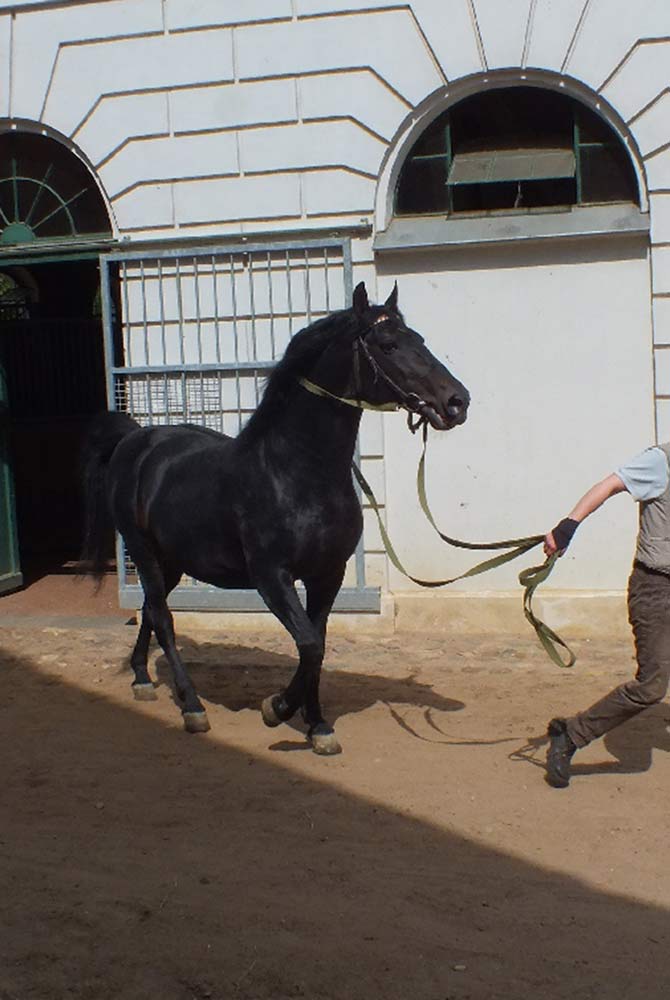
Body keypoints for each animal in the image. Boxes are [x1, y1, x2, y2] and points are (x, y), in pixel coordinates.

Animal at [81, 280, 470, 752]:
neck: (294, 472)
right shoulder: (272, 576)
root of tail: (135, 440)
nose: (457, 402)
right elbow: (309, 643)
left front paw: (318, 725)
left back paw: (141, 678)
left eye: (420, 340)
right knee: (164, 619)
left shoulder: (328, 574)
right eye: (389, 344)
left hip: (171, 561)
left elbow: (318, 643)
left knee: (152, 612)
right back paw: (192, 707)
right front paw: (277, 708)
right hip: (145, 553)